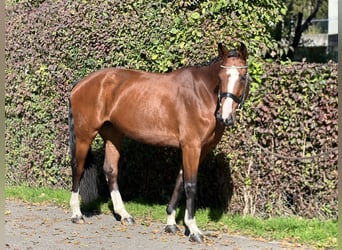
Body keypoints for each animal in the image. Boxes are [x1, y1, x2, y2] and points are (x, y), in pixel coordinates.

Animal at [67, 42, 248, 242]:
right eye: (221, 77)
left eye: (242, 76)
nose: (225, 117)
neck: (201, 94)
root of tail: (80, 84)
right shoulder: (191, 146)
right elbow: (190, 185)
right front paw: (193, 230)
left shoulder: (200, 149)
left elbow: (180, 181)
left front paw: (171, 223)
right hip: (85, 134)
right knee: (78, 167)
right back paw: (77, 214)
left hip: (113, 135)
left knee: (110, 170)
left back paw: (124, 215)